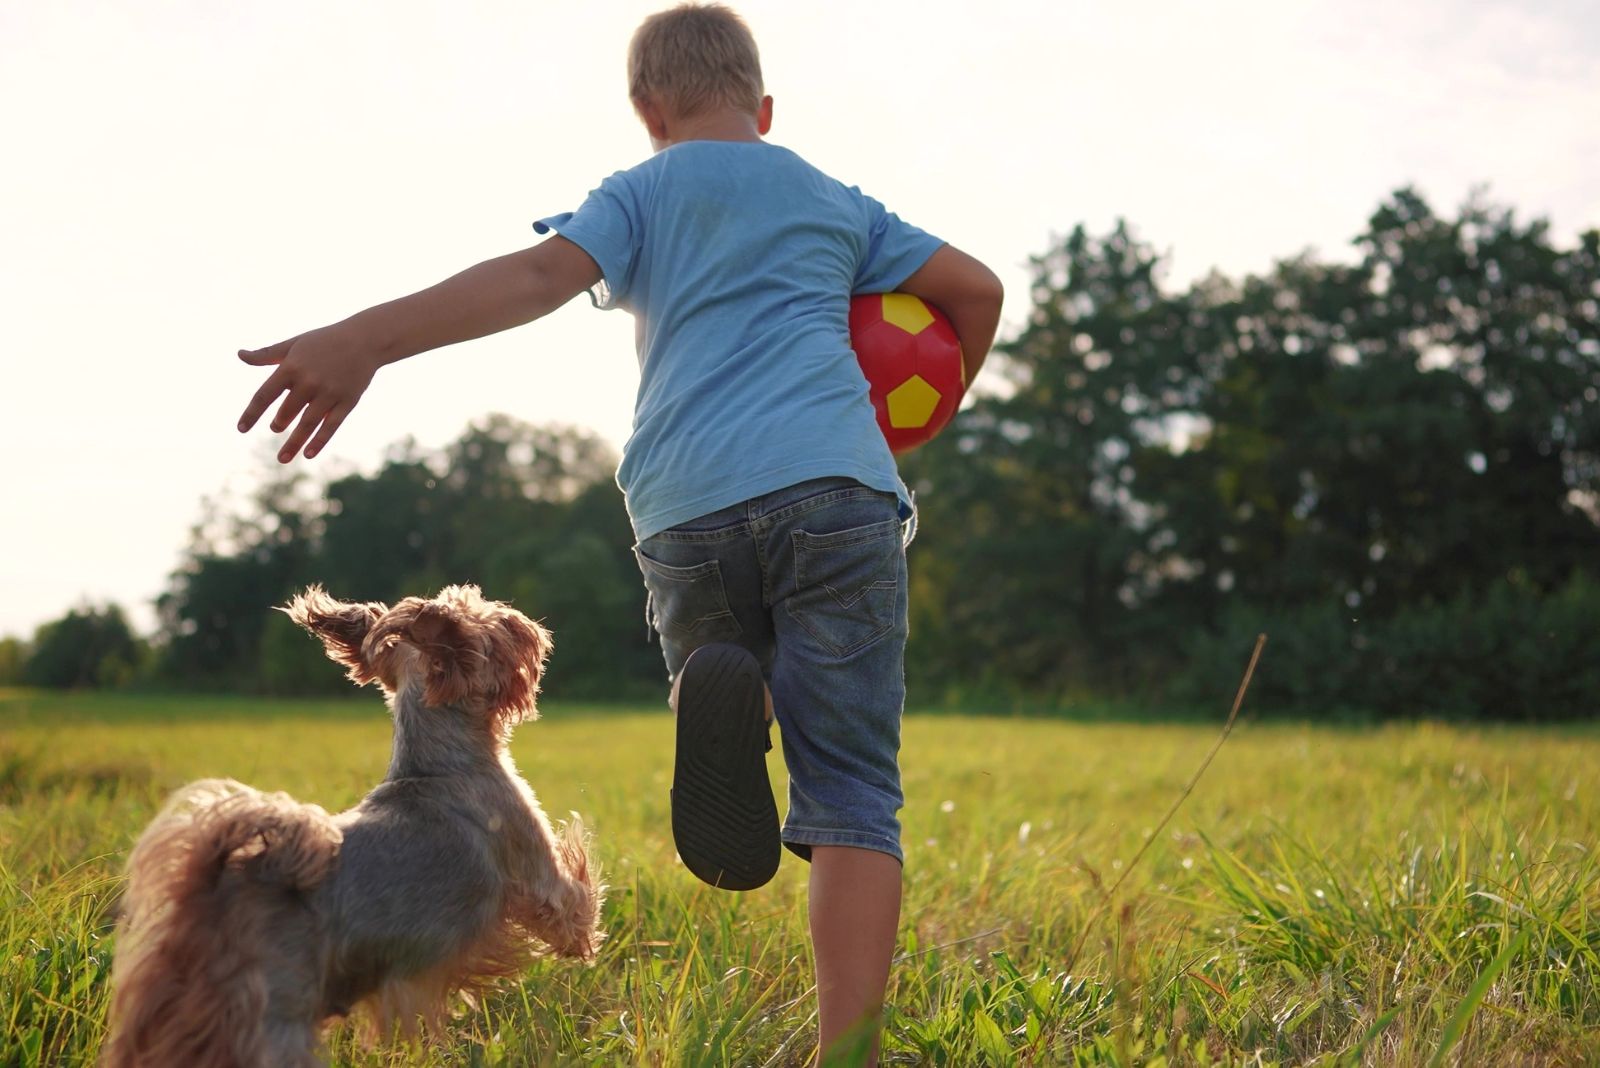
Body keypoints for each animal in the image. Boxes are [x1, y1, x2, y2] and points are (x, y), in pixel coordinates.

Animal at [101, 588, 601, 1061]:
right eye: (493, 622)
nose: (527, 624)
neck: (434, 760)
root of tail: (209, 886)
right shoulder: (536, 869)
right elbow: (578, 901)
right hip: (273, 1018)